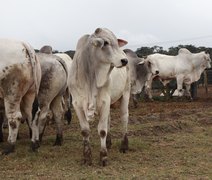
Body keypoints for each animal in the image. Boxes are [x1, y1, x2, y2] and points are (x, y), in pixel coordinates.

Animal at [69, 27, 129, 166]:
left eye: (116, 43)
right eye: (105, 43)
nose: (124, 61)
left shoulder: (105, 101)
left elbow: (102, 130)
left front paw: (103, 157)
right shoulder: (77, 104)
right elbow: (85, 131)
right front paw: (87, 157)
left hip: (125, 94)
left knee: (124, 118)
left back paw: (124, 145)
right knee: (109, 120)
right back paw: (109, 142)